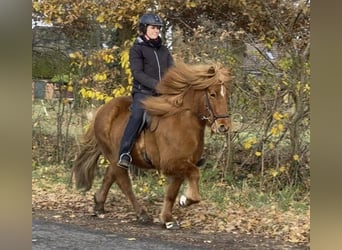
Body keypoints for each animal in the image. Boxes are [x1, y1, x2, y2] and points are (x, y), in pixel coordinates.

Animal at [72, 62, 232, 229]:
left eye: (226, 94)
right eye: (212, 94)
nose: (223, 126)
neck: (183, 122)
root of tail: (102, 110)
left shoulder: (182, 166)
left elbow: (171, 193)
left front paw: (168, 219)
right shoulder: (170, 164)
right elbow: (194, 174)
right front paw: (185, 200)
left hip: (114, 157)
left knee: (110, 176)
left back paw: (99, 205)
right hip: (113, 155)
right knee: (124, 183)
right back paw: (141, 214)